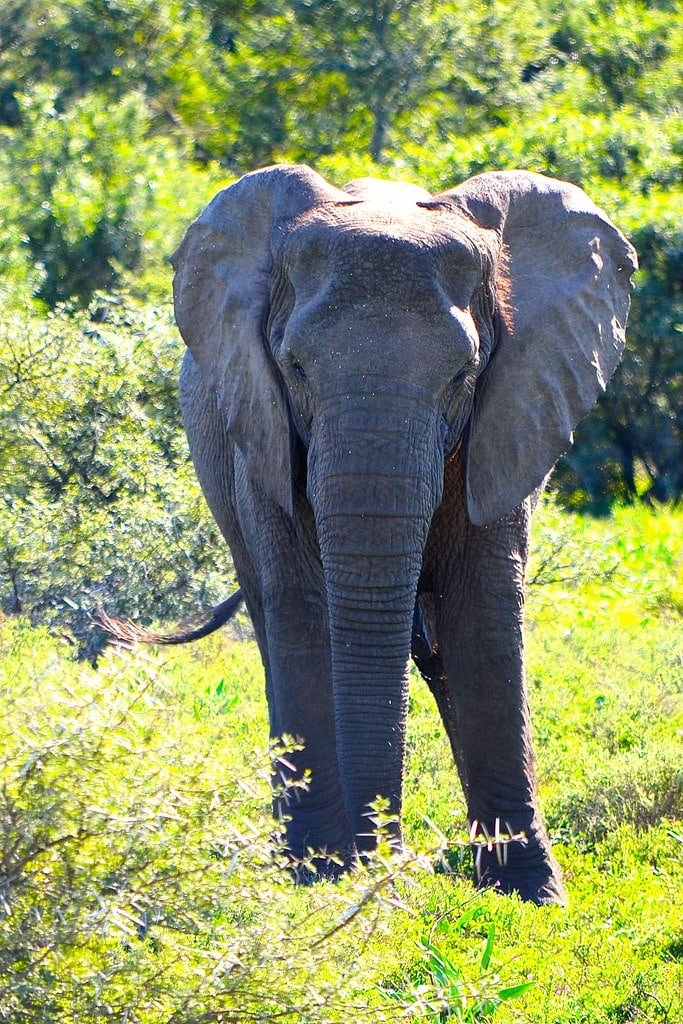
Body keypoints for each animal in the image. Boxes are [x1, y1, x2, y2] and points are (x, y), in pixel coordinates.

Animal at [164, 164, 636, 905]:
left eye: (462, 376)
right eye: (293, 368)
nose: (385, 864)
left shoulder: (510, 417)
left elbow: (482, 618)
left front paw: (532, 897)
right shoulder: (261, 429)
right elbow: (304, 613)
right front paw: (319, 877)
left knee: (438, 652)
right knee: (274, 622)